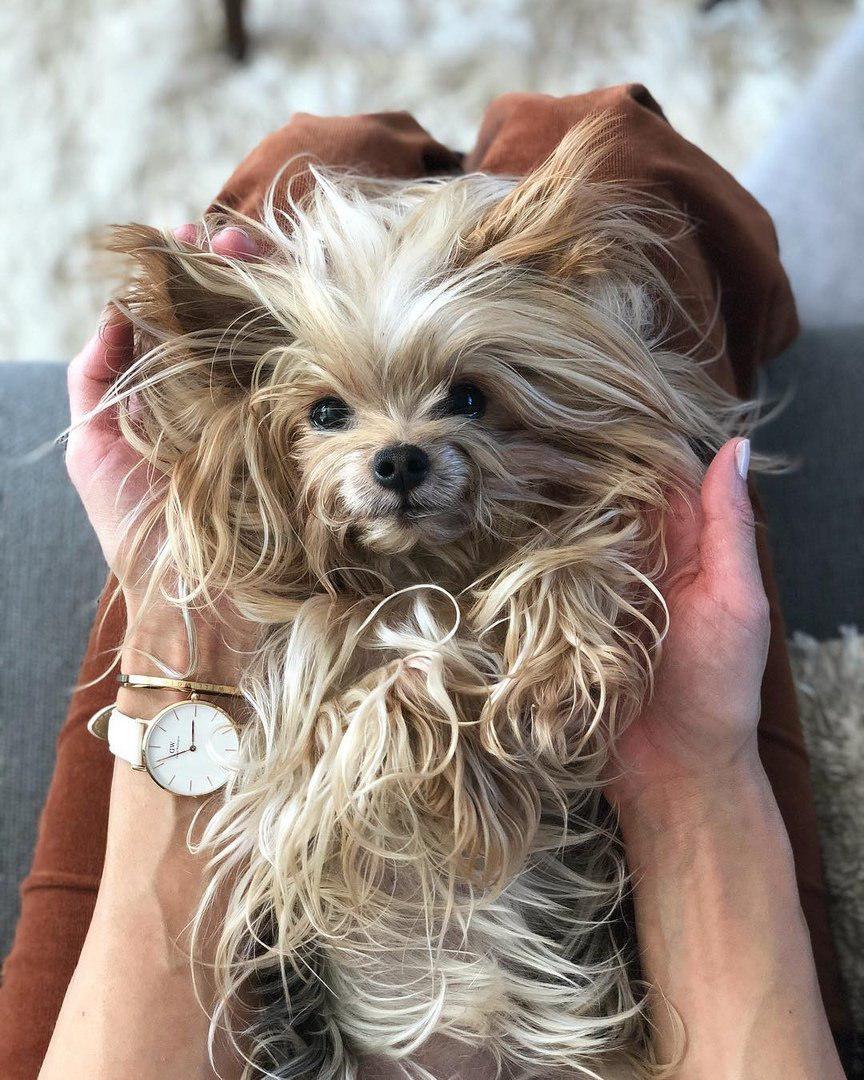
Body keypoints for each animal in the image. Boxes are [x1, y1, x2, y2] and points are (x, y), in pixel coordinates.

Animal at [104, 122, 756, 1075]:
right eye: (325, 413)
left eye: (470, 397)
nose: (401, 458)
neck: (424, 568)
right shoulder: (294, 783)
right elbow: (391, 690)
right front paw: (476, 766)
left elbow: (565, 561)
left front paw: (553, 674)